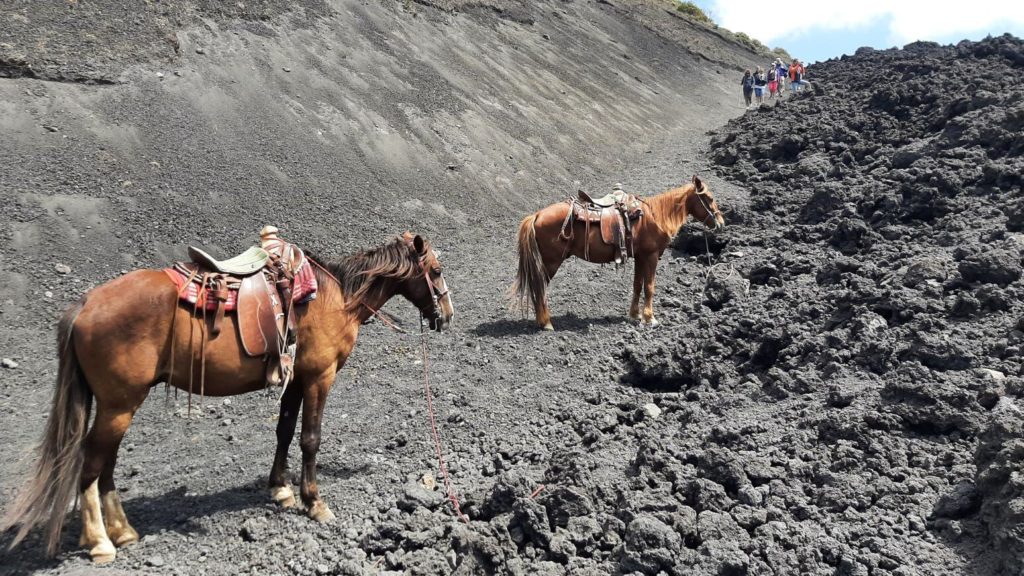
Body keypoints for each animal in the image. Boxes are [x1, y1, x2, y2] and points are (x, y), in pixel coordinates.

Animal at [1, 232, 454, 563]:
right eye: (435, 270)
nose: (447, 316)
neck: (336, 297)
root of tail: (85, 304)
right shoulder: (318, 378)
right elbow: (310, 439)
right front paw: (314, 502)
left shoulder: (294, 379)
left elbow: (284, 432)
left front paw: (280, 490)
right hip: (118, 405)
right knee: (92, 464)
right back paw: (100, 542)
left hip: (117, 406)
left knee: (105, 465)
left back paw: (123, 532)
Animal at [512, 176, 724, 330]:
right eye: (710, 198)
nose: (721, 223)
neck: (654, 217)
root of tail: (537, 215)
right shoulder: (651, 256)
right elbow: (649, 287)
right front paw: (650, 319)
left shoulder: (640, 257)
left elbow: (637, 285)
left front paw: (634, 315)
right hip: (551, 262)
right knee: (540, 288)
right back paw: (546, 323)